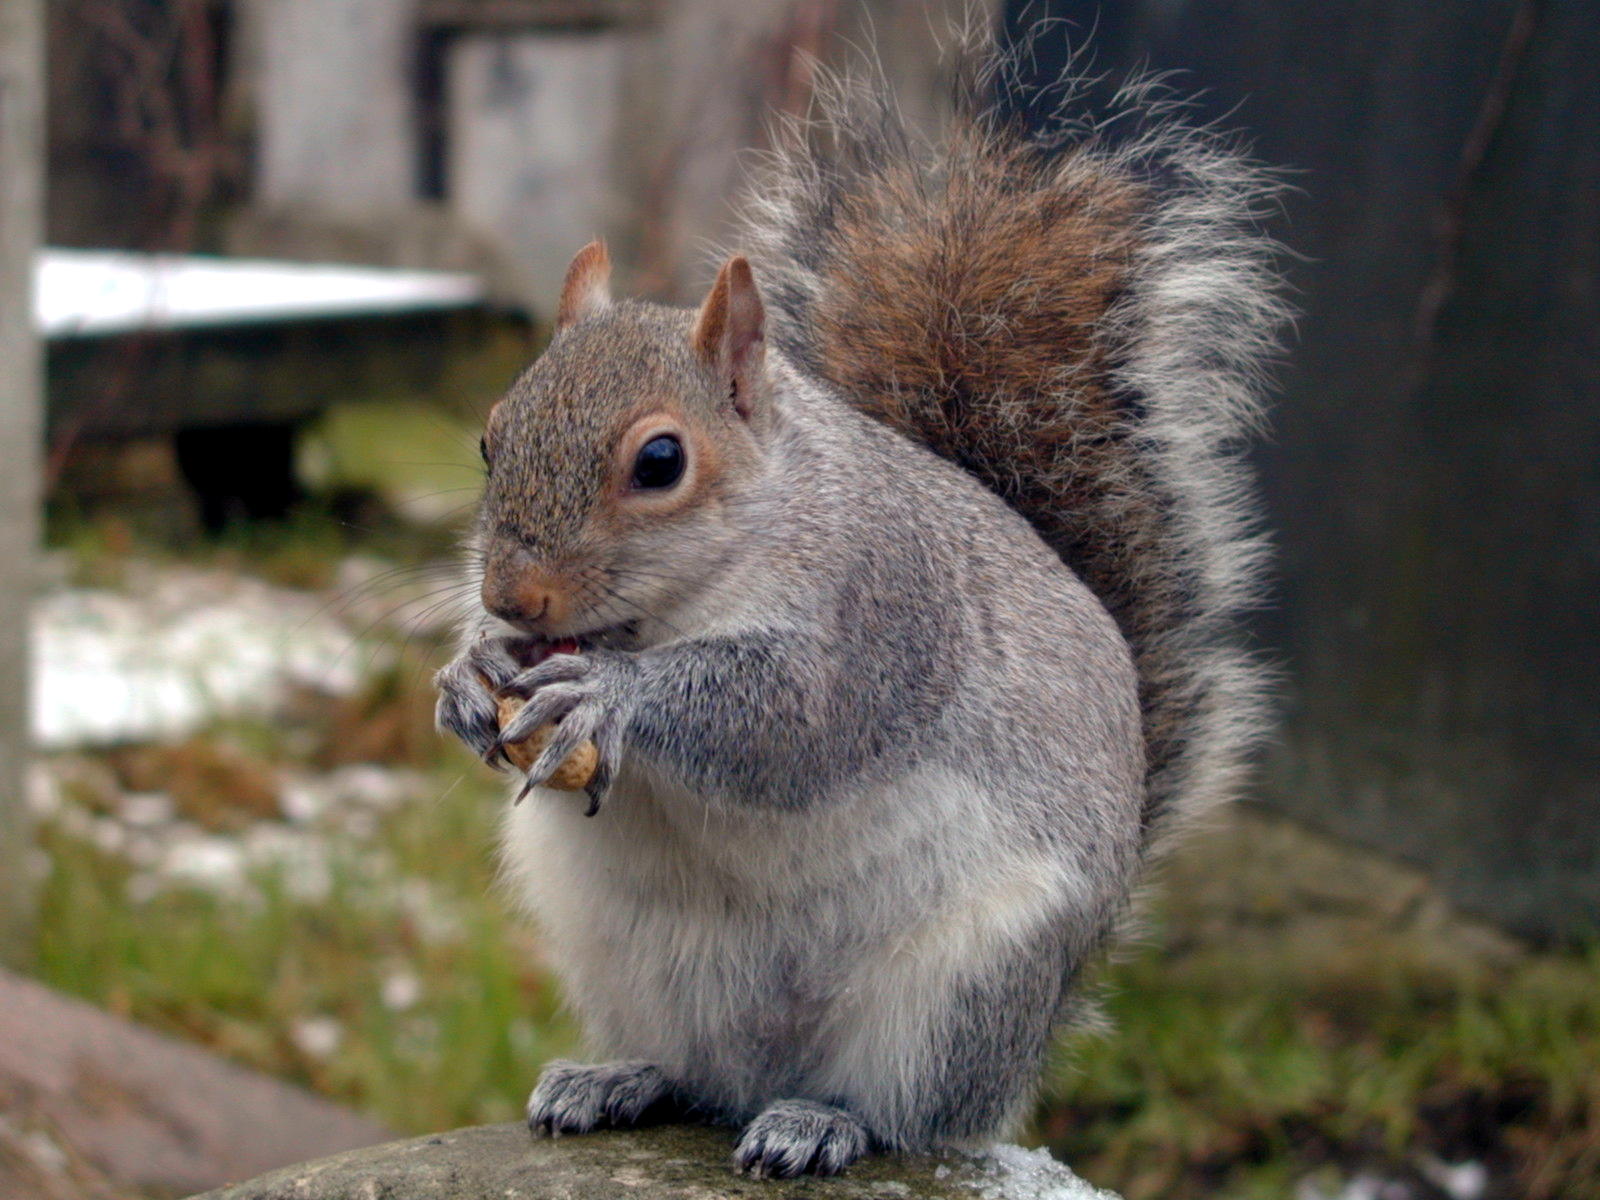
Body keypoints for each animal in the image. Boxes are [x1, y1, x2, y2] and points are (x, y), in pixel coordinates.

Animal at [435, 35, 1286, 1184]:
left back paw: (819, 1122)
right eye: (490, 436)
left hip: (960, 987)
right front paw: (471, 673)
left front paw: (609, 695)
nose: (509, 595)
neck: (678, 601)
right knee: (691, 1072)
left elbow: (794, 718)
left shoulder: (884, 613)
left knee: (904, 1112)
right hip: (619, 952)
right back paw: (617, 1079)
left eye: (660, 462)